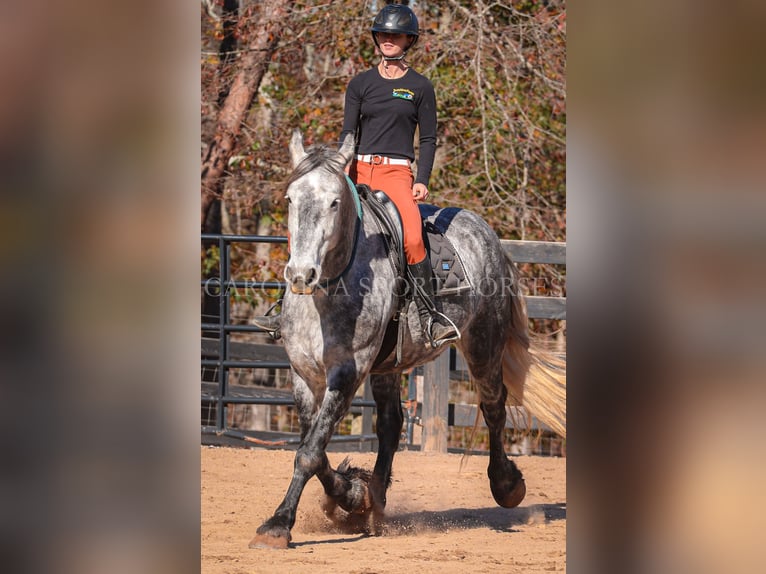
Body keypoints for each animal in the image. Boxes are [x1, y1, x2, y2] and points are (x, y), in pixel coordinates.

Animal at [252, 129, 564, 548]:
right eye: (290, 199)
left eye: (335, 202)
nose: (301, 274)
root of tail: (488, 236)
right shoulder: (303, 375)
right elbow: (313, 446)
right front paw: (352, 495)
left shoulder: (347, 374)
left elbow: (310, 451)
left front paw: (278, 523)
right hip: (389, 367)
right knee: (390, 424)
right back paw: (375, 500)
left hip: (483, 347)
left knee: (494, 408)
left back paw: (506, 485)